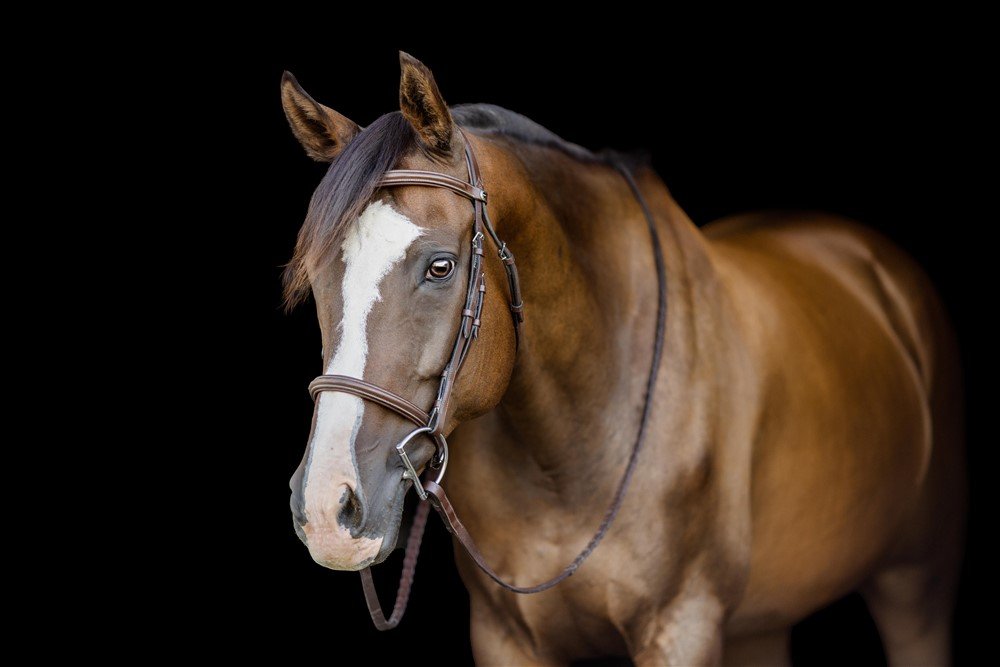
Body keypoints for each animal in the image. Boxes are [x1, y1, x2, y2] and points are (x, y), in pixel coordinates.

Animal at [278, 53, 964, 667]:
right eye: (315, 276)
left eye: (441, 266)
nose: (328, 507)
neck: (571, 447)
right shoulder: (505, 639)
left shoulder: (681, 628)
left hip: (914, 585)